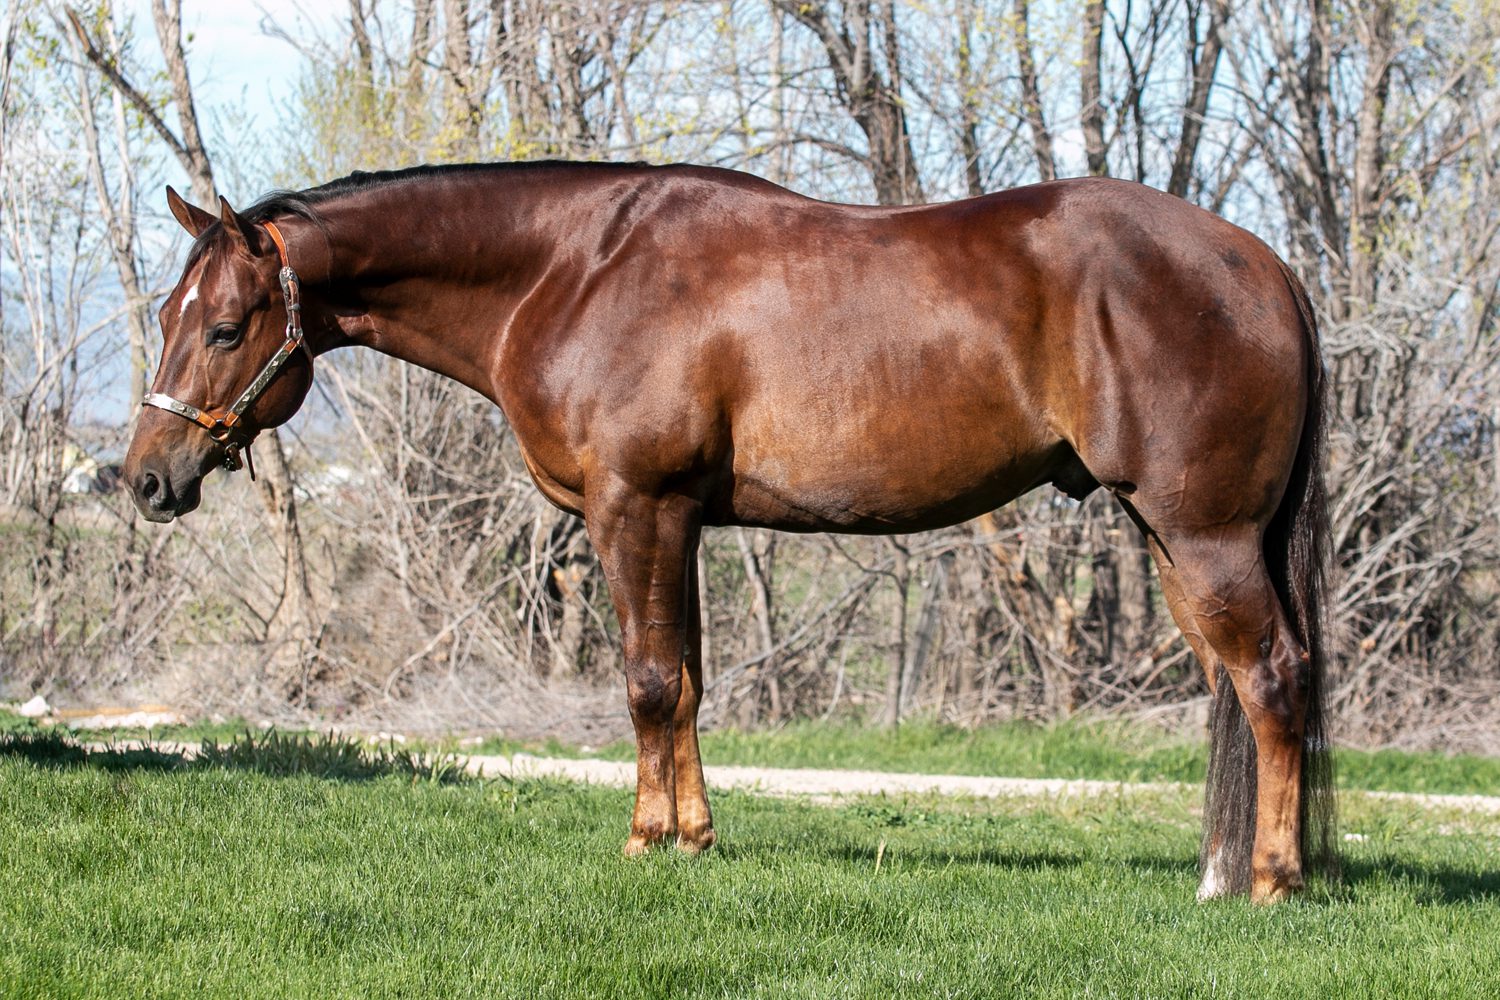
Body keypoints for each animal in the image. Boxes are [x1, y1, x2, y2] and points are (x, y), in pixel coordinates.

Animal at [124, 161, 1334, 902]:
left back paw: (1271, 882)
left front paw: (645, 840)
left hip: (1208, 534)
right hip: (1173, 538)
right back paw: (1220, 870)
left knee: (1272, 679)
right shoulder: (683, 519)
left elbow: (649, 681)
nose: (144, 479)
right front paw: (697, 837)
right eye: (168, 315)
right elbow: (692, 681)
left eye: (225, 326)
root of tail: (1267, 266)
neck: (573, 269)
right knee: (1231, 688)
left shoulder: (636, 507)